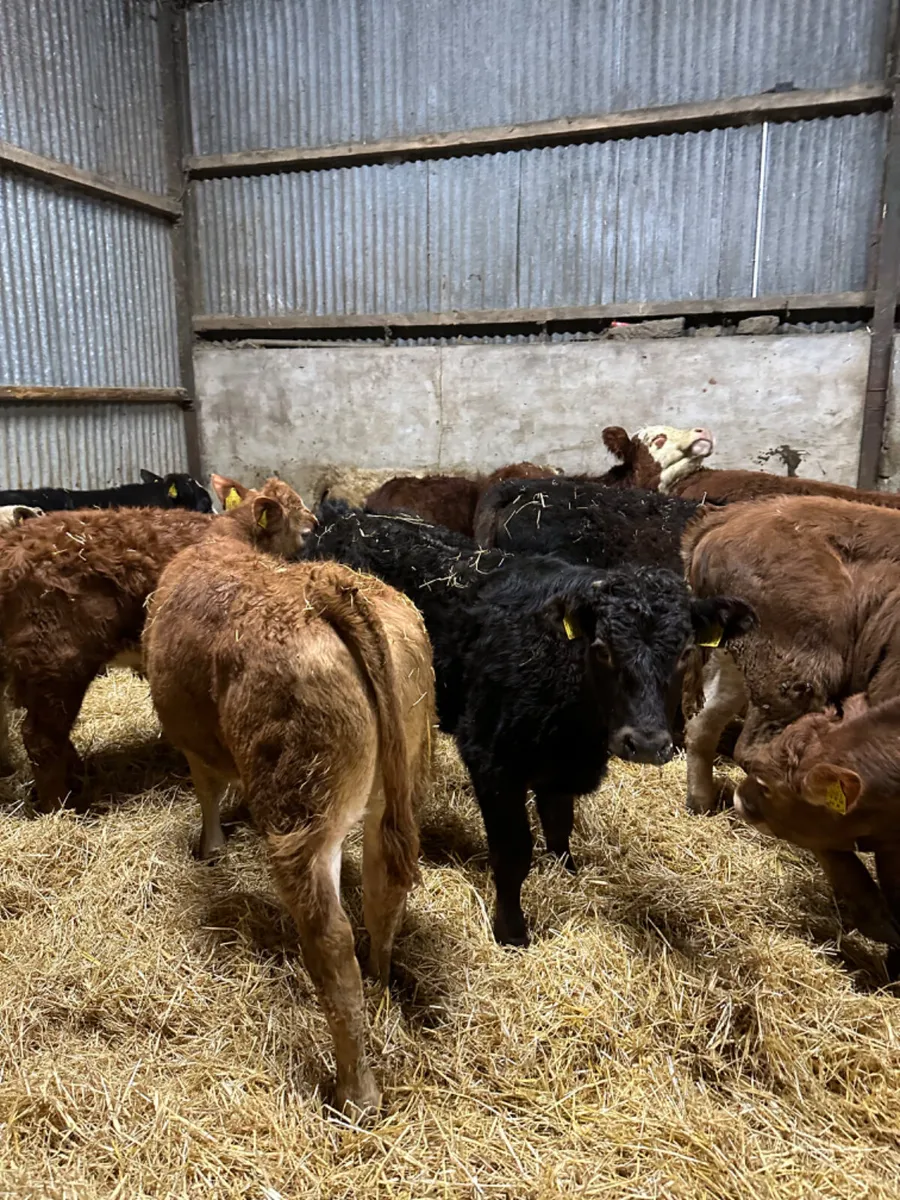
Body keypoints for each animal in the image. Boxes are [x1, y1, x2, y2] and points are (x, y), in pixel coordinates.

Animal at [143, 478, 433, 1113]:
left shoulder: (196, 744)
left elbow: (207, 790)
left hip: (299, 807)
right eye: (305, 522)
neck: (229, 539)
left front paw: (212, 848)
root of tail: (329, 587)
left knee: (330, 940)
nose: (312, 531)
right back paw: (381, 983)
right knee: (384, 885)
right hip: (396, 780)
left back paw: (355, 1093)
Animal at [305, 501, 753, 945]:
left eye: (685, 652)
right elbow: (513, 851)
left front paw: (565, 872)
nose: (644, 742)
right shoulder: (493, 759)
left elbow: (558, 825)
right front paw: (511, 930)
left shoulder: (560, 765)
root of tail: (343, 514)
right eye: (602, 648)